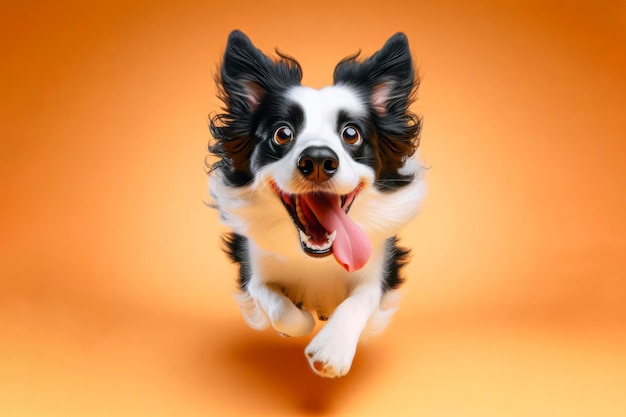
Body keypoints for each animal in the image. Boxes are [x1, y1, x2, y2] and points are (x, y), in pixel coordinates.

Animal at [206, 30, 424, 376]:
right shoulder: (252, 268)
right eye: (282, 133)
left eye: (351, 134)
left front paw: (332, 349)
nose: (319, 160)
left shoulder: (379, 268)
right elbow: (278, 306)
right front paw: (301, 321)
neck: (317, 258)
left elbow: (359, 300)